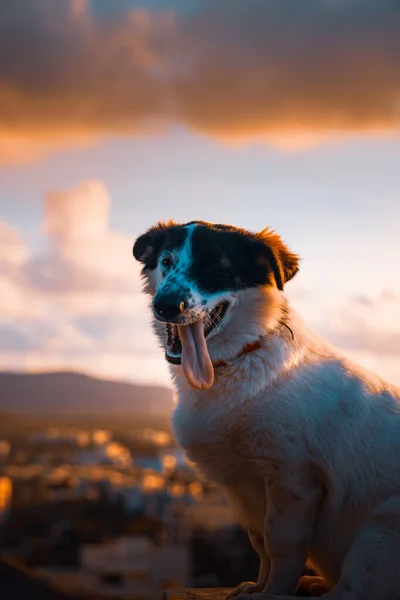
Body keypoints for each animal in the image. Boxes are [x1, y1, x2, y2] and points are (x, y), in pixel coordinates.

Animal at [134, 220, 400, 600]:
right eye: (166, 261)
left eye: (216, 266)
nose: (167, 305)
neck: (242, 358)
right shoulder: (243, 486)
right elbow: (259, 542)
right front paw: (259, 586)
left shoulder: (294, 479)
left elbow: (281, 544)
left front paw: (274, 592)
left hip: (382, 528)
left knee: (353, 591)